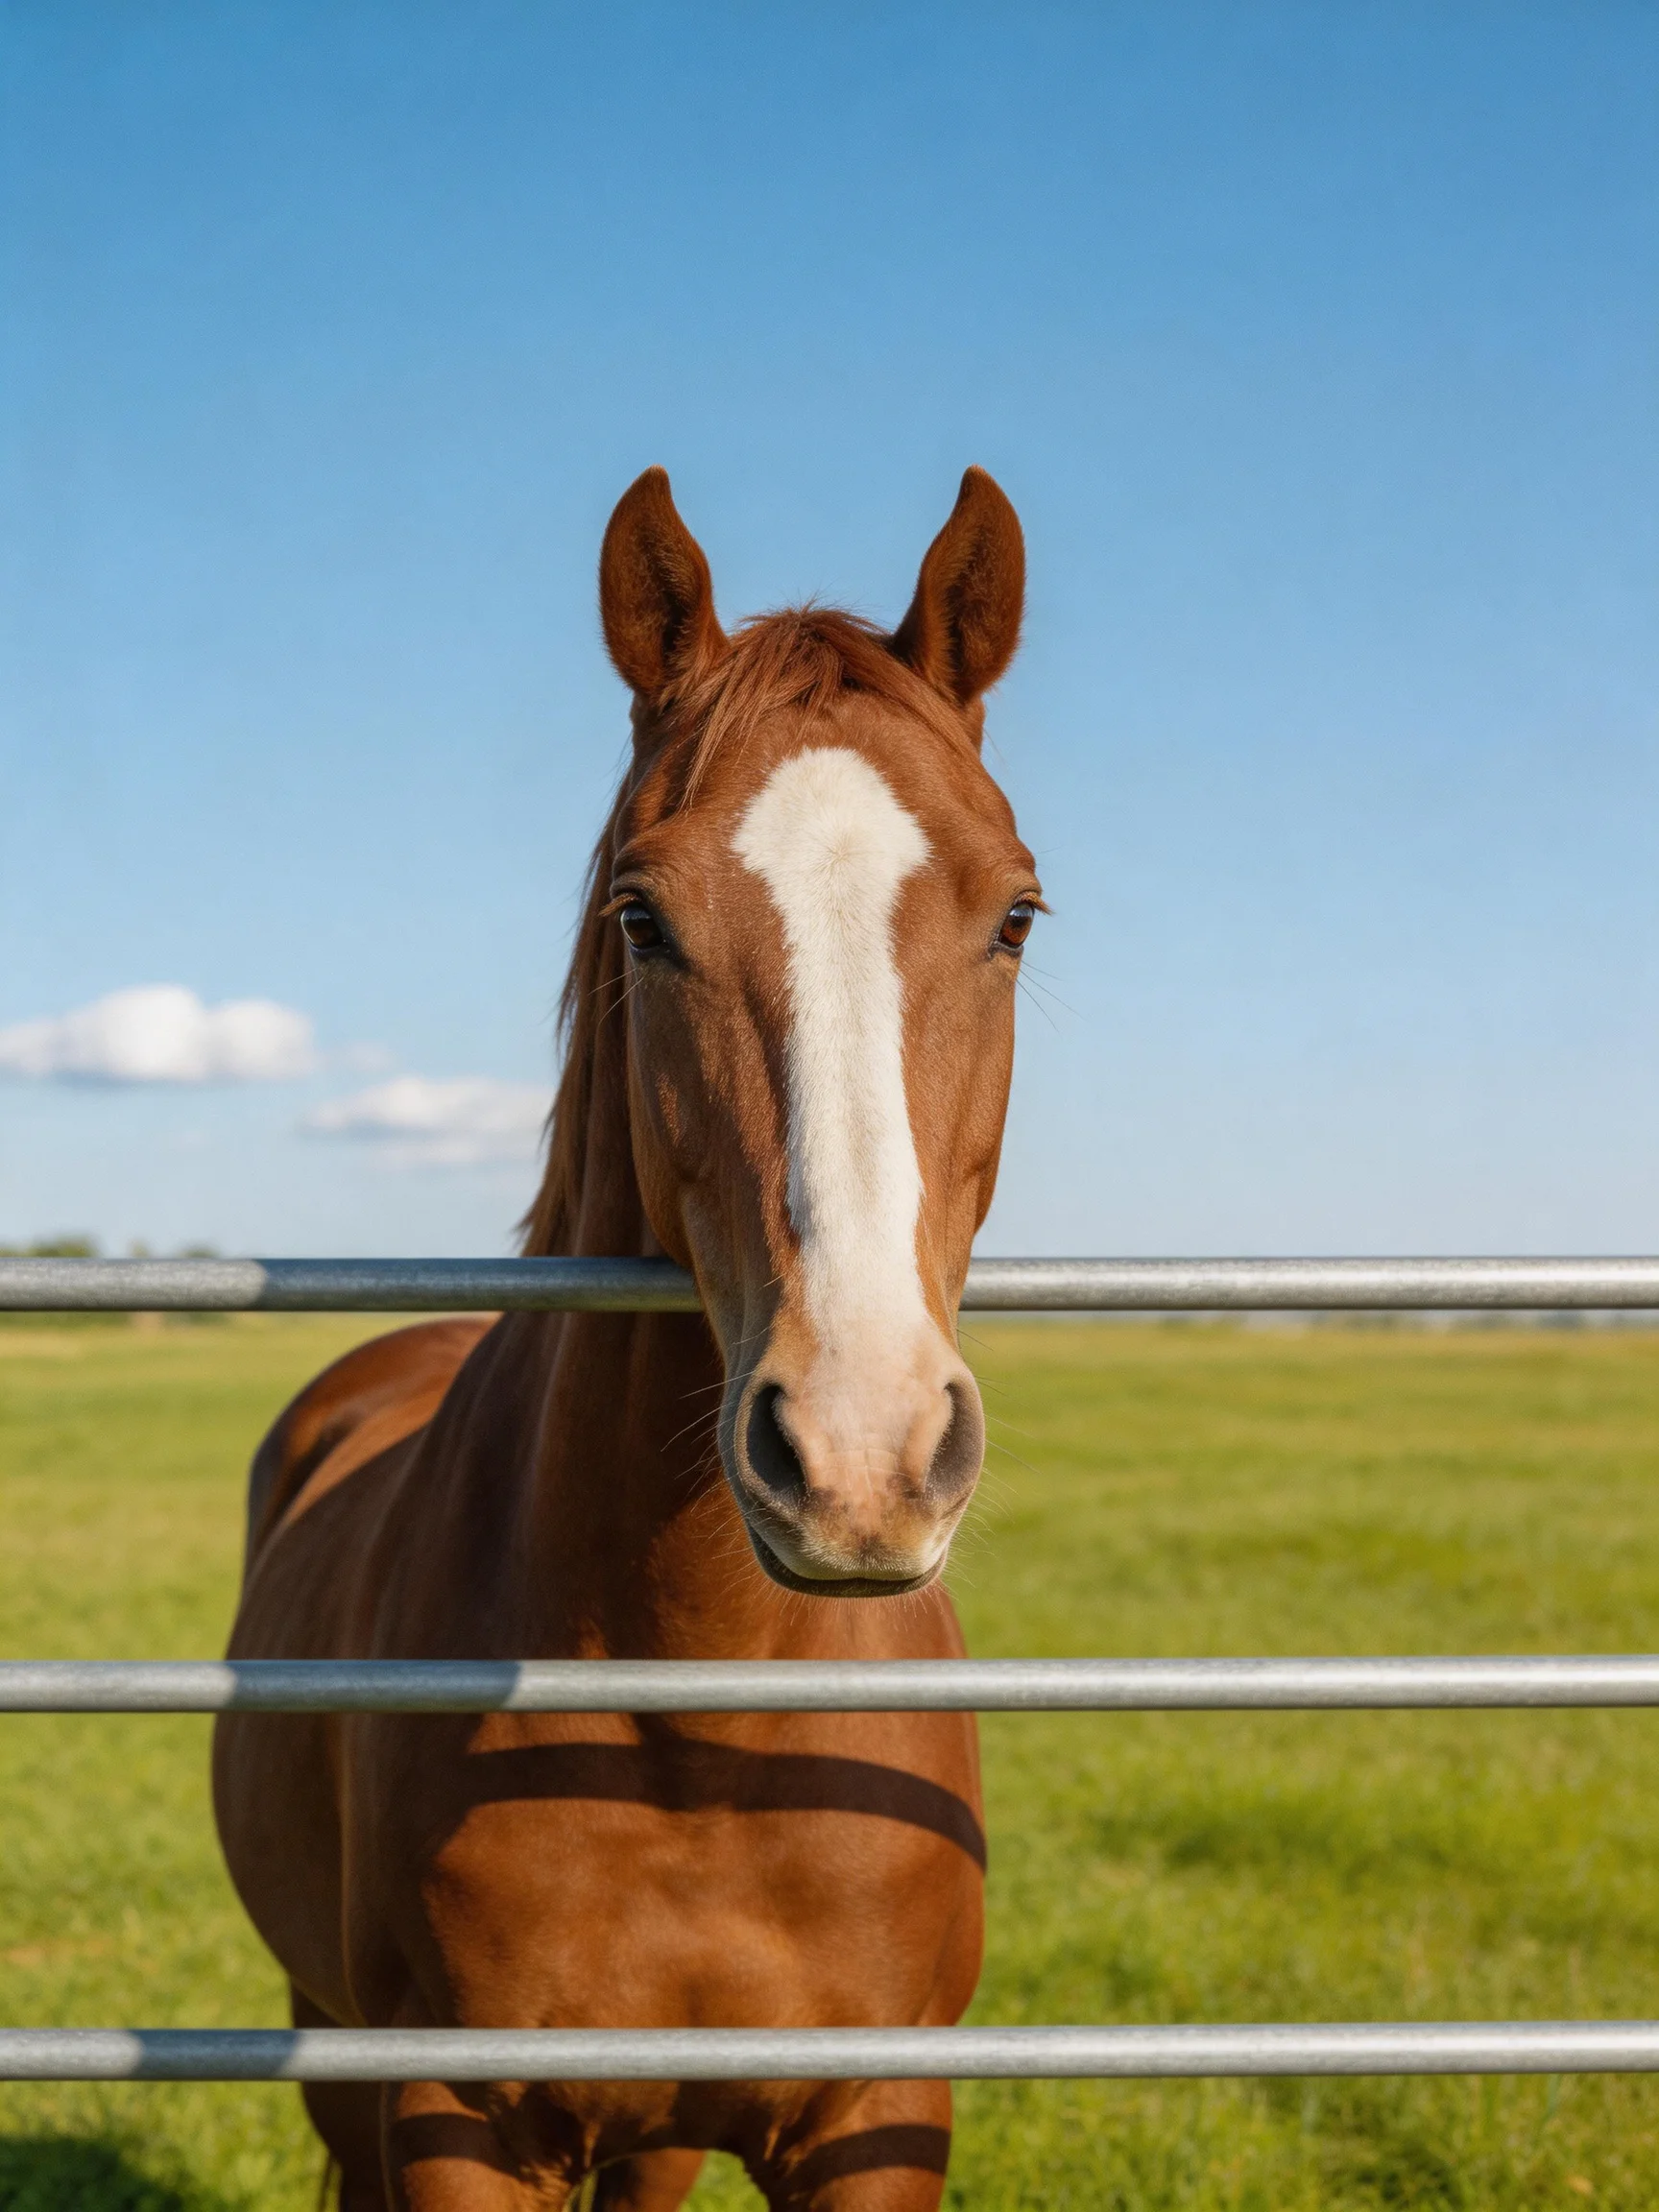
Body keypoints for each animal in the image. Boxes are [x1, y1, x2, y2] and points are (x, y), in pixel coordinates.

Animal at [213, 463, 1039, 2211]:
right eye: (642, 916)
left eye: (1014, 912)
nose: (859, 1454)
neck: (706, 1726)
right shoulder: (455, 2121)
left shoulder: (877, 2117)